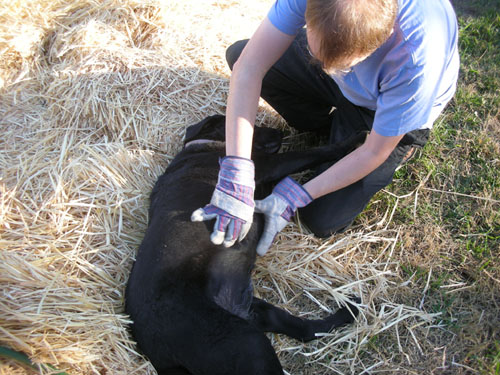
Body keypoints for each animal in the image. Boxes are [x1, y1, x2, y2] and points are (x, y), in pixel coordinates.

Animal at [125, 116, 364, 374]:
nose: (279, 132)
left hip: (257, 313)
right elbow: (314, 153)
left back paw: (350, 310)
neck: (206, 144)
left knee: (306, 330)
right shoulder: (268, 165)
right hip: (246, 342)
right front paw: (353, 140)